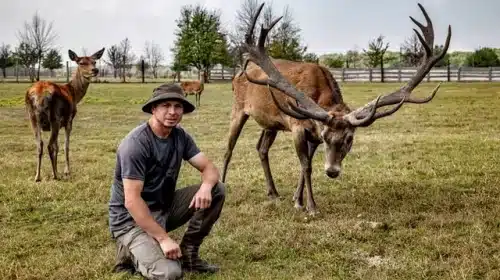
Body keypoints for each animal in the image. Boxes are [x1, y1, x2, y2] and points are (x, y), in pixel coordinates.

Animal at [24, 47, 105, 183]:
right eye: (81, 62)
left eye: (94, 62)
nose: (95, 70)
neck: (74, 94)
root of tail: (39, 95)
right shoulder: (69, 120)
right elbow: (65, 146)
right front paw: (66, 171)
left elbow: (57, 146)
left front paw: (56, 169)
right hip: (54, 117)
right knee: (49, 145)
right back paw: (55, 175)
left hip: (33, 118)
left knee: (40, 145)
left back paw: (38, 176)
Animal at [221, 2, 452, 215]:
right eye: (326, 137)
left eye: (349, 139)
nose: (332, 171)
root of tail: (237, 74)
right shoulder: (297, 126)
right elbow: (306, 166)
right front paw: (310, 207)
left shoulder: (311, 135)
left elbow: (303, 165)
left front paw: (297, 199)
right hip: (238, 108)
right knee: (228, 149)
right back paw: (223, 185)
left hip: (270, 124)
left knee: (261, 148)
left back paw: (273, 193)